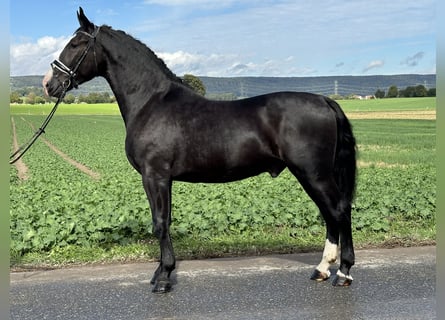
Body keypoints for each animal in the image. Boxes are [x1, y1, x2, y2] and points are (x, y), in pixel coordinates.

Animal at [43, 8, 356, 292]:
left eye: (75, 44)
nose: (49, 84)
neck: (151, 101)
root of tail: (325, 100)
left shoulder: (154, 175)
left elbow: (160, 223)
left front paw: (163, 278)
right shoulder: (162, 179)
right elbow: (164, 221)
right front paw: (161, 272)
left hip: (313, 173)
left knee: (339, 210)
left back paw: (343, 272)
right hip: (311, 174)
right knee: (330, 213)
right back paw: (322, 269)